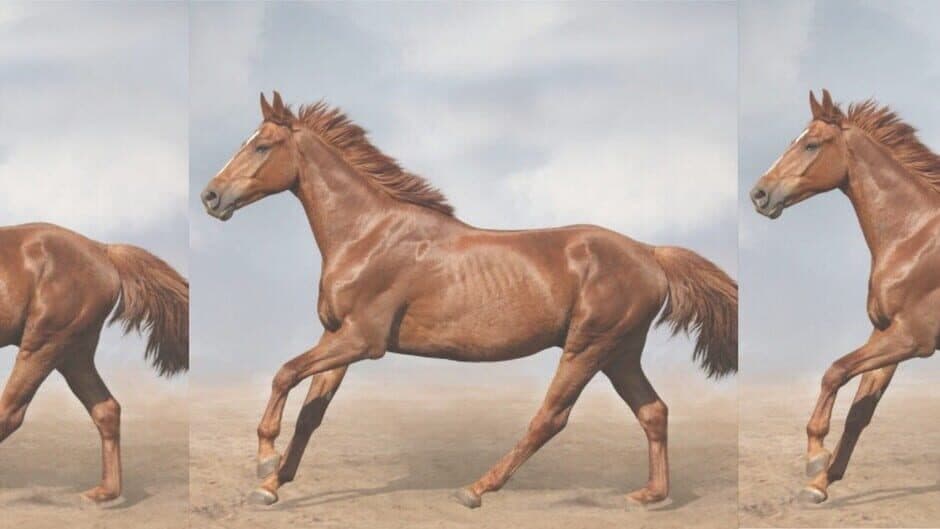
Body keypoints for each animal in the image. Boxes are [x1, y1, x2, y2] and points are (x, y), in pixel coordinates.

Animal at [0, 223, 188, 503]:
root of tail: (102, 249)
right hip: (73, 353)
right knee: (106, 409)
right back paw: (104, 493)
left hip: (45, 343)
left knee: (12, 412)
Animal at [201, 91, 737, 508]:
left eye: (262, 145)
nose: (211, 197)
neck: (368, 234)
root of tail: (650, 253)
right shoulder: (337, 336)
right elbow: (312, 411)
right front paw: (272, 485)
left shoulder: (362, 340)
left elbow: (284, 373)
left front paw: (265, 462)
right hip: (620, 353)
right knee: (653, 411)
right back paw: (650, 496)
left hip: (588, 348)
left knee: (551, 418)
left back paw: (476, 490)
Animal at [750, 89, 940, 504]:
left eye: (811, 144)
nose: (759, 194)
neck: (913, 238)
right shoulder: (886, 334)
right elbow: (859, 411)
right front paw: (819, 484)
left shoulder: (912, 338)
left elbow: (834, 371)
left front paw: (815, 457)